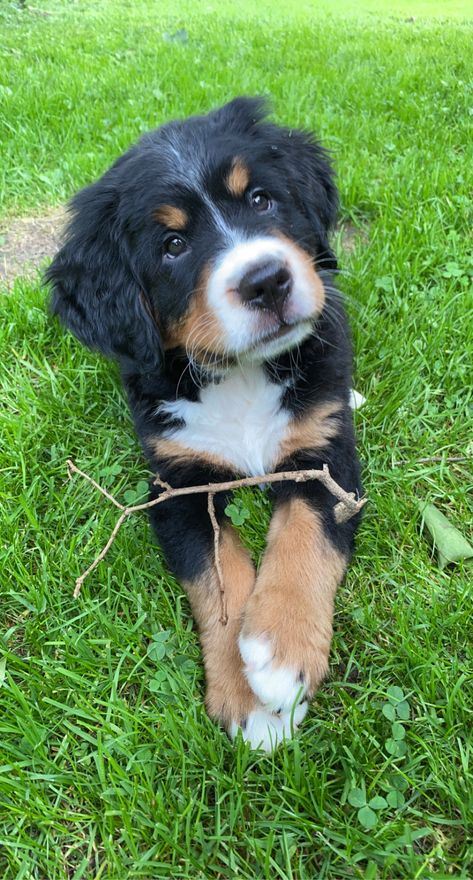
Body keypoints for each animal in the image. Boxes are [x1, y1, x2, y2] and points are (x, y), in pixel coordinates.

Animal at [46, 99, 360, 752]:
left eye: (262, 199)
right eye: (172, 245)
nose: (266, 280)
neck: (238, 375)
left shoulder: (326, 454)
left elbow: (305, 537)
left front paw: (279, 653)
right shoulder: (177, 483)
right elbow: (218, 574)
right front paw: (250, 701)